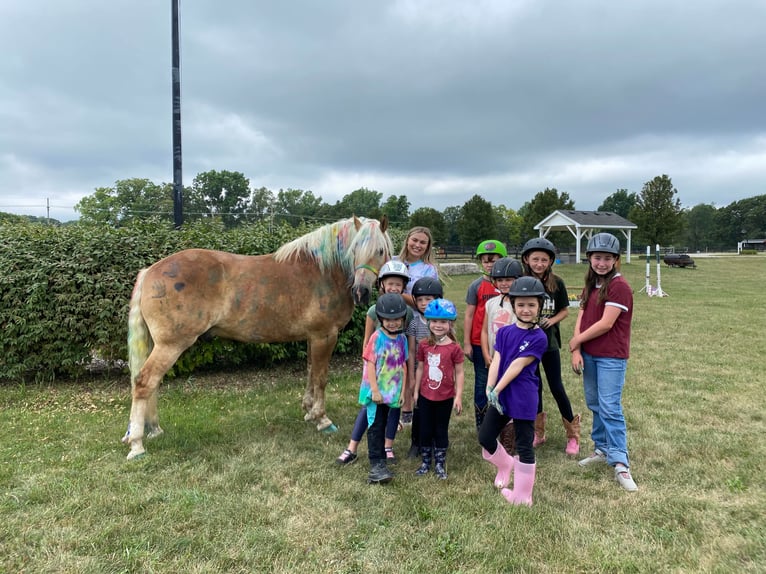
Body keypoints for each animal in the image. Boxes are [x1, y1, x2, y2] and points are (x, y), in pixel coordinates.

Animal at [124, 216, 396, 464]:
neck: (324, 270)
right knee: (144, 383)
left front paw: (309, 412)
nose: (360, 292)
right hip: (171, 345)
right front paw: (322, 419)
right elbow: (321, 378)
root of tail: (150, 271)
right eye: (355, 249)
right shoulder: (325, 336)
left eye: (380, 251)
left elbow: (310, 373)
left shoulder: (313, 337)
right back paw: (137, 444)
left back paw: (153, 430)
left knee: (152, 384)